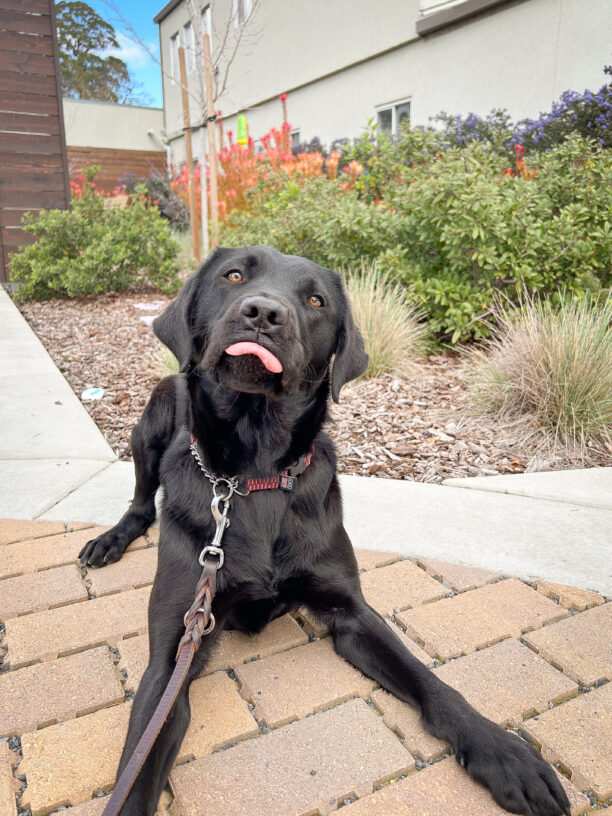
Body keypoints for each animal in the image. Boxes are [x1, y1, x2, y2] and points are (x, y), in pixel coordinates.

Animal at [79, 247, 572, 816]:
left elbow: (430, 681)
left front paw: (503, 752)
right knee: (142, 500)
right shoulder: (172, 653)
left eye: (315, 301)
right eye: (233, 275)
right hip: (153, 417)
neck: (254, 477)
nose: (263, 313)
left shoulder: (350, 611)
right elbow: (136, 775)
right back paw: (109, 540)